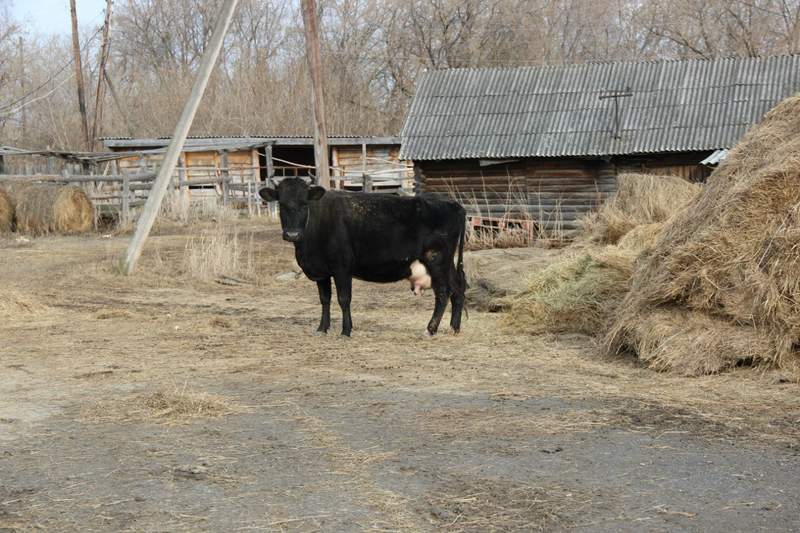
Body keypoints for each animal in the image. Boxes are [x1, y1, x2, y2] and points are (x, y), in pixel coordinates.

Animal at [260, 179, 466, 336]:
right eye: (281, 204)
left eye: (304, 203)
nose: (292, 234)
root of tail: (453, 204)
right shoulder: (321, 271)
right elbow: (324, 299)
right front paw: (322, 329)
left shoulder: (342, 268)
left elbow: (344, 298)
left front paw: (346, 331)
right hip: (447, 263)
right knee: (458, 288)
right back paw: (454, 328)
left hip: (436, 259)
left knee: (443, 292)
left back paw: (430, 329)